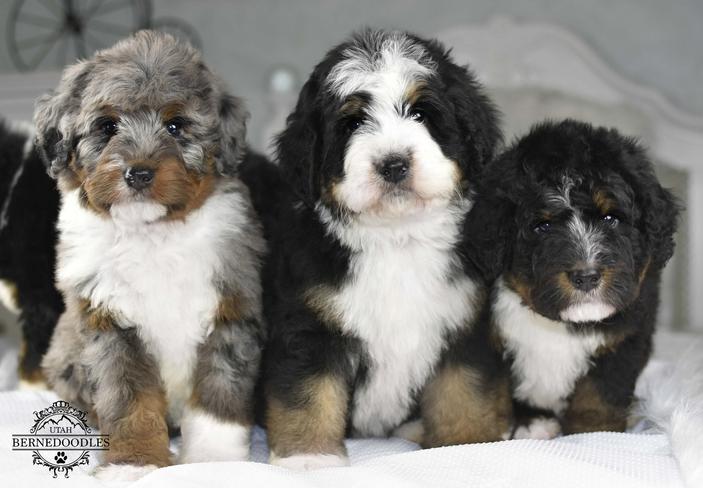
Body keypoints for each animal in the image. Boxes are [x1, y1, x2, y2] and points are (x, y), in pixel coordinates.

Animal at [470, 120, 680, 440]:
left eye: (610, 219)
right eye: (542, 226)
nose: (586, 276)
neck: (560, 325)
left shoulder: (623, 342)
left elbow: (598, 397)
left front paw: (594, 433)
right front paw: (531, 423)